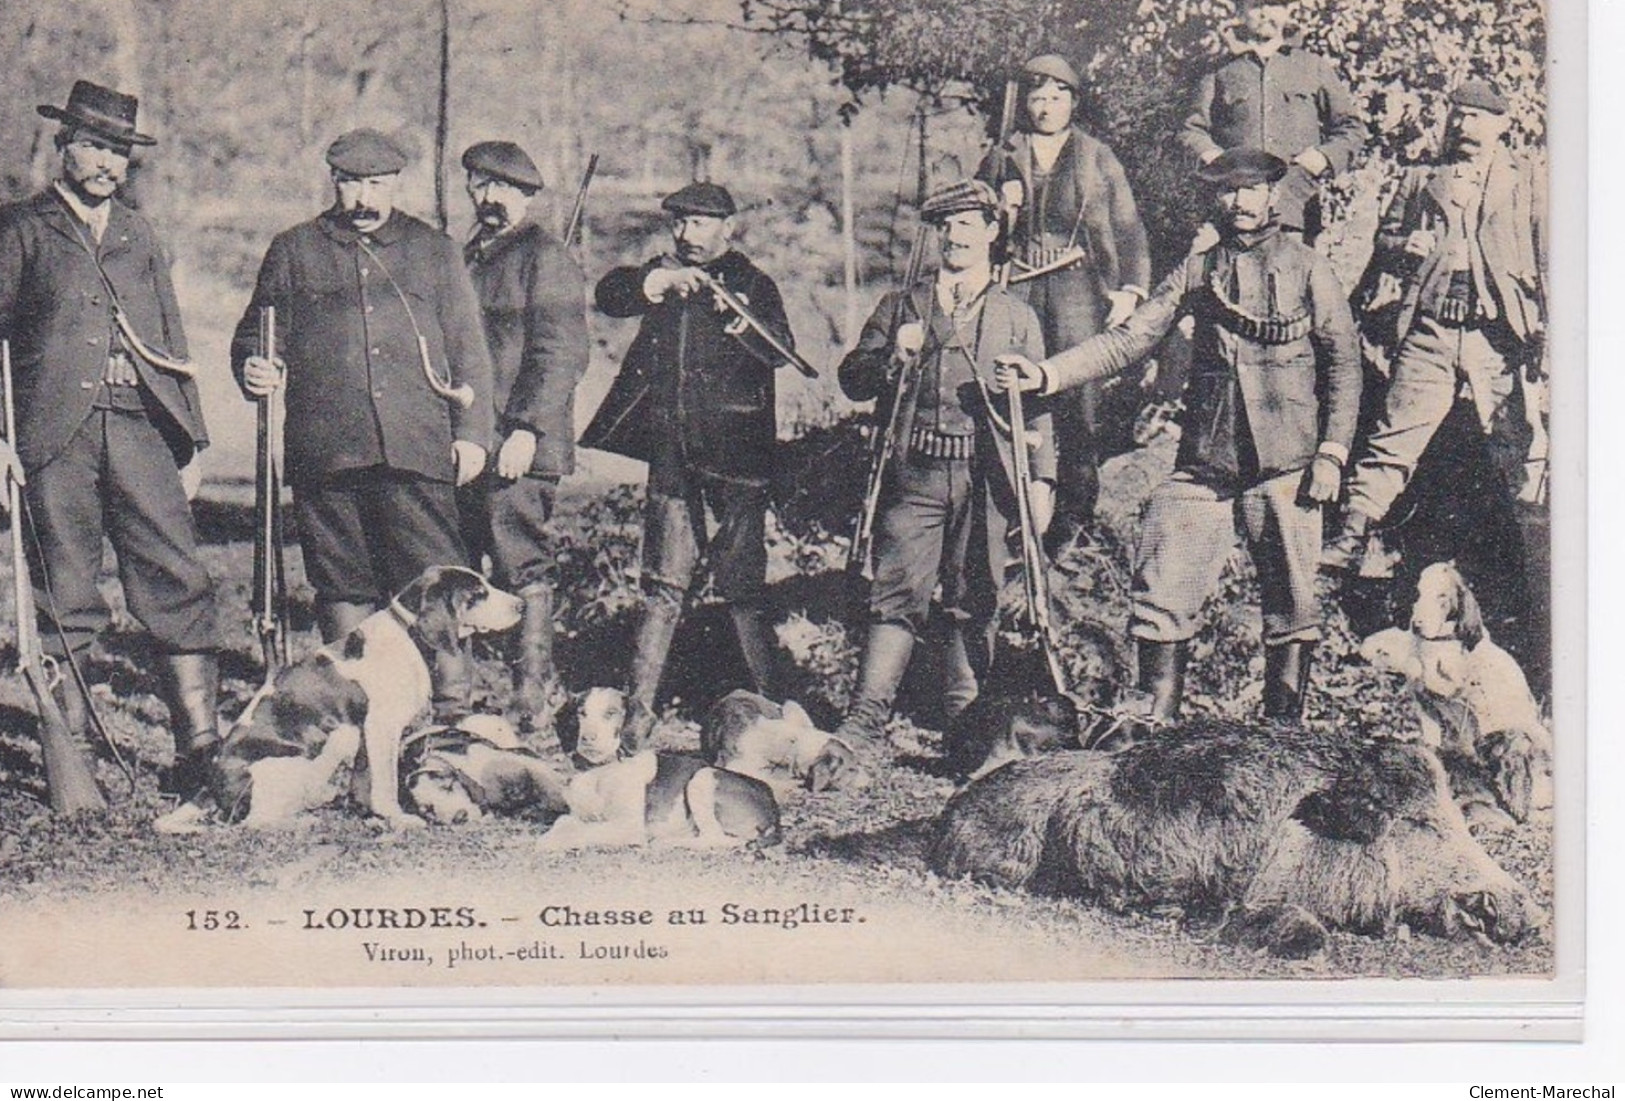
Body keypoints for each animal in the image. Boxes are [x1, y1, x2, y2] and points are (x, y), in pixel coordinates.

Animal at [152, 574, 520, 831]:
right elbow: (385, 782)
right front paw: (398, 818)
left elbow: (366, 779)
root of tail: (211, 787)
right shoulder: (381, 728)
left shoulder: (366, 735)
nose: (520, 605)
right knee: (251, 822)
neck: (407, 635)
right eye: (478, 593)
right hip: (294, 762)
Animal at [542, 688, 783, 850]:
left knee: (719, 839)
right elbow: (563, 822)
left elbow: (585, 831)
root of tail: (773, 809)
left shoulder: (628, 826)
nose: (587, 738)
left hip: (703, 777)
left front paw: (550, 842)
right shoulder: (578, 815)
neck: (599, 771)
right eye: (581, 713)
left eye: (611, 713)